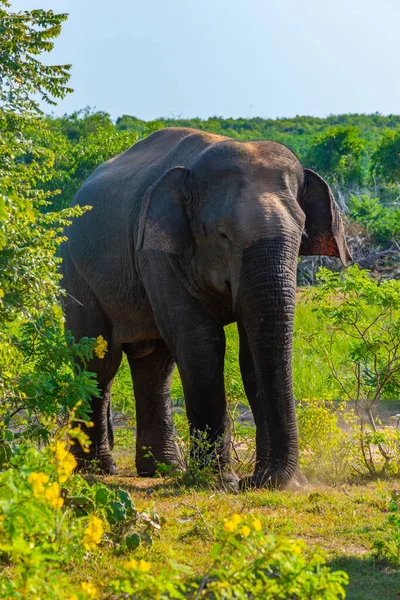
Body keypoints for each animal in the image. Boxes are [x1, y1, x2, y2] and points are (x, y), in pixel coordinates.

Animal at [60, 126, 350, 488]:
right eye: (222, 234)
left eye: (302, 232)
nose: (258, 481)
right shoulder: (158, 253)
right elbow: (200, 343)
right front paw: (220, 483)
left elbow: (252, 351)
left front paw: (266, 482)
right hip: (76, 273)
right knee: (100, 362)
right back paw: (98, 469)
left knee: (153, 364)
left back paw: (163, 470)